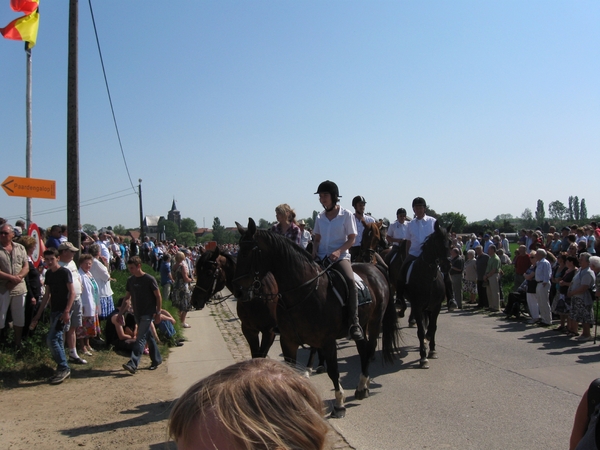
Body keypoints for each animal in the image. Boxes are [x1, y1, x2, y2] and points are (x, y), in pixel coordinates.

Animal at [233, 219, 398, 418]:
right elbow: (290, 368)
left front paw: (339, 404)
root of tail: (374, 268)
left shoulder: (327, 341)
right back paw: (362, 386)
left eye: (247, 252)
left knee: (370, 346)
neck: (304, 291)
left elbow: (333, 371)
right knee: (363, 348)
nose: (238, 292)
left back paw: (361, 387)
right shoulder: (288, 341)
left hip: (374, 321)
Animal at [404, 221, 450, 370]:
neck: (428, 277)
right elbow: (420, 331)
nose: (447, 265)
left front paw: (432, 349)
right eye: (437, 242)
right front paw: (423, 357)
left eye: (450, 242)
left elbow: (432, 328)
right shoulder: (418, 307)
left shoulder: (436, 307)